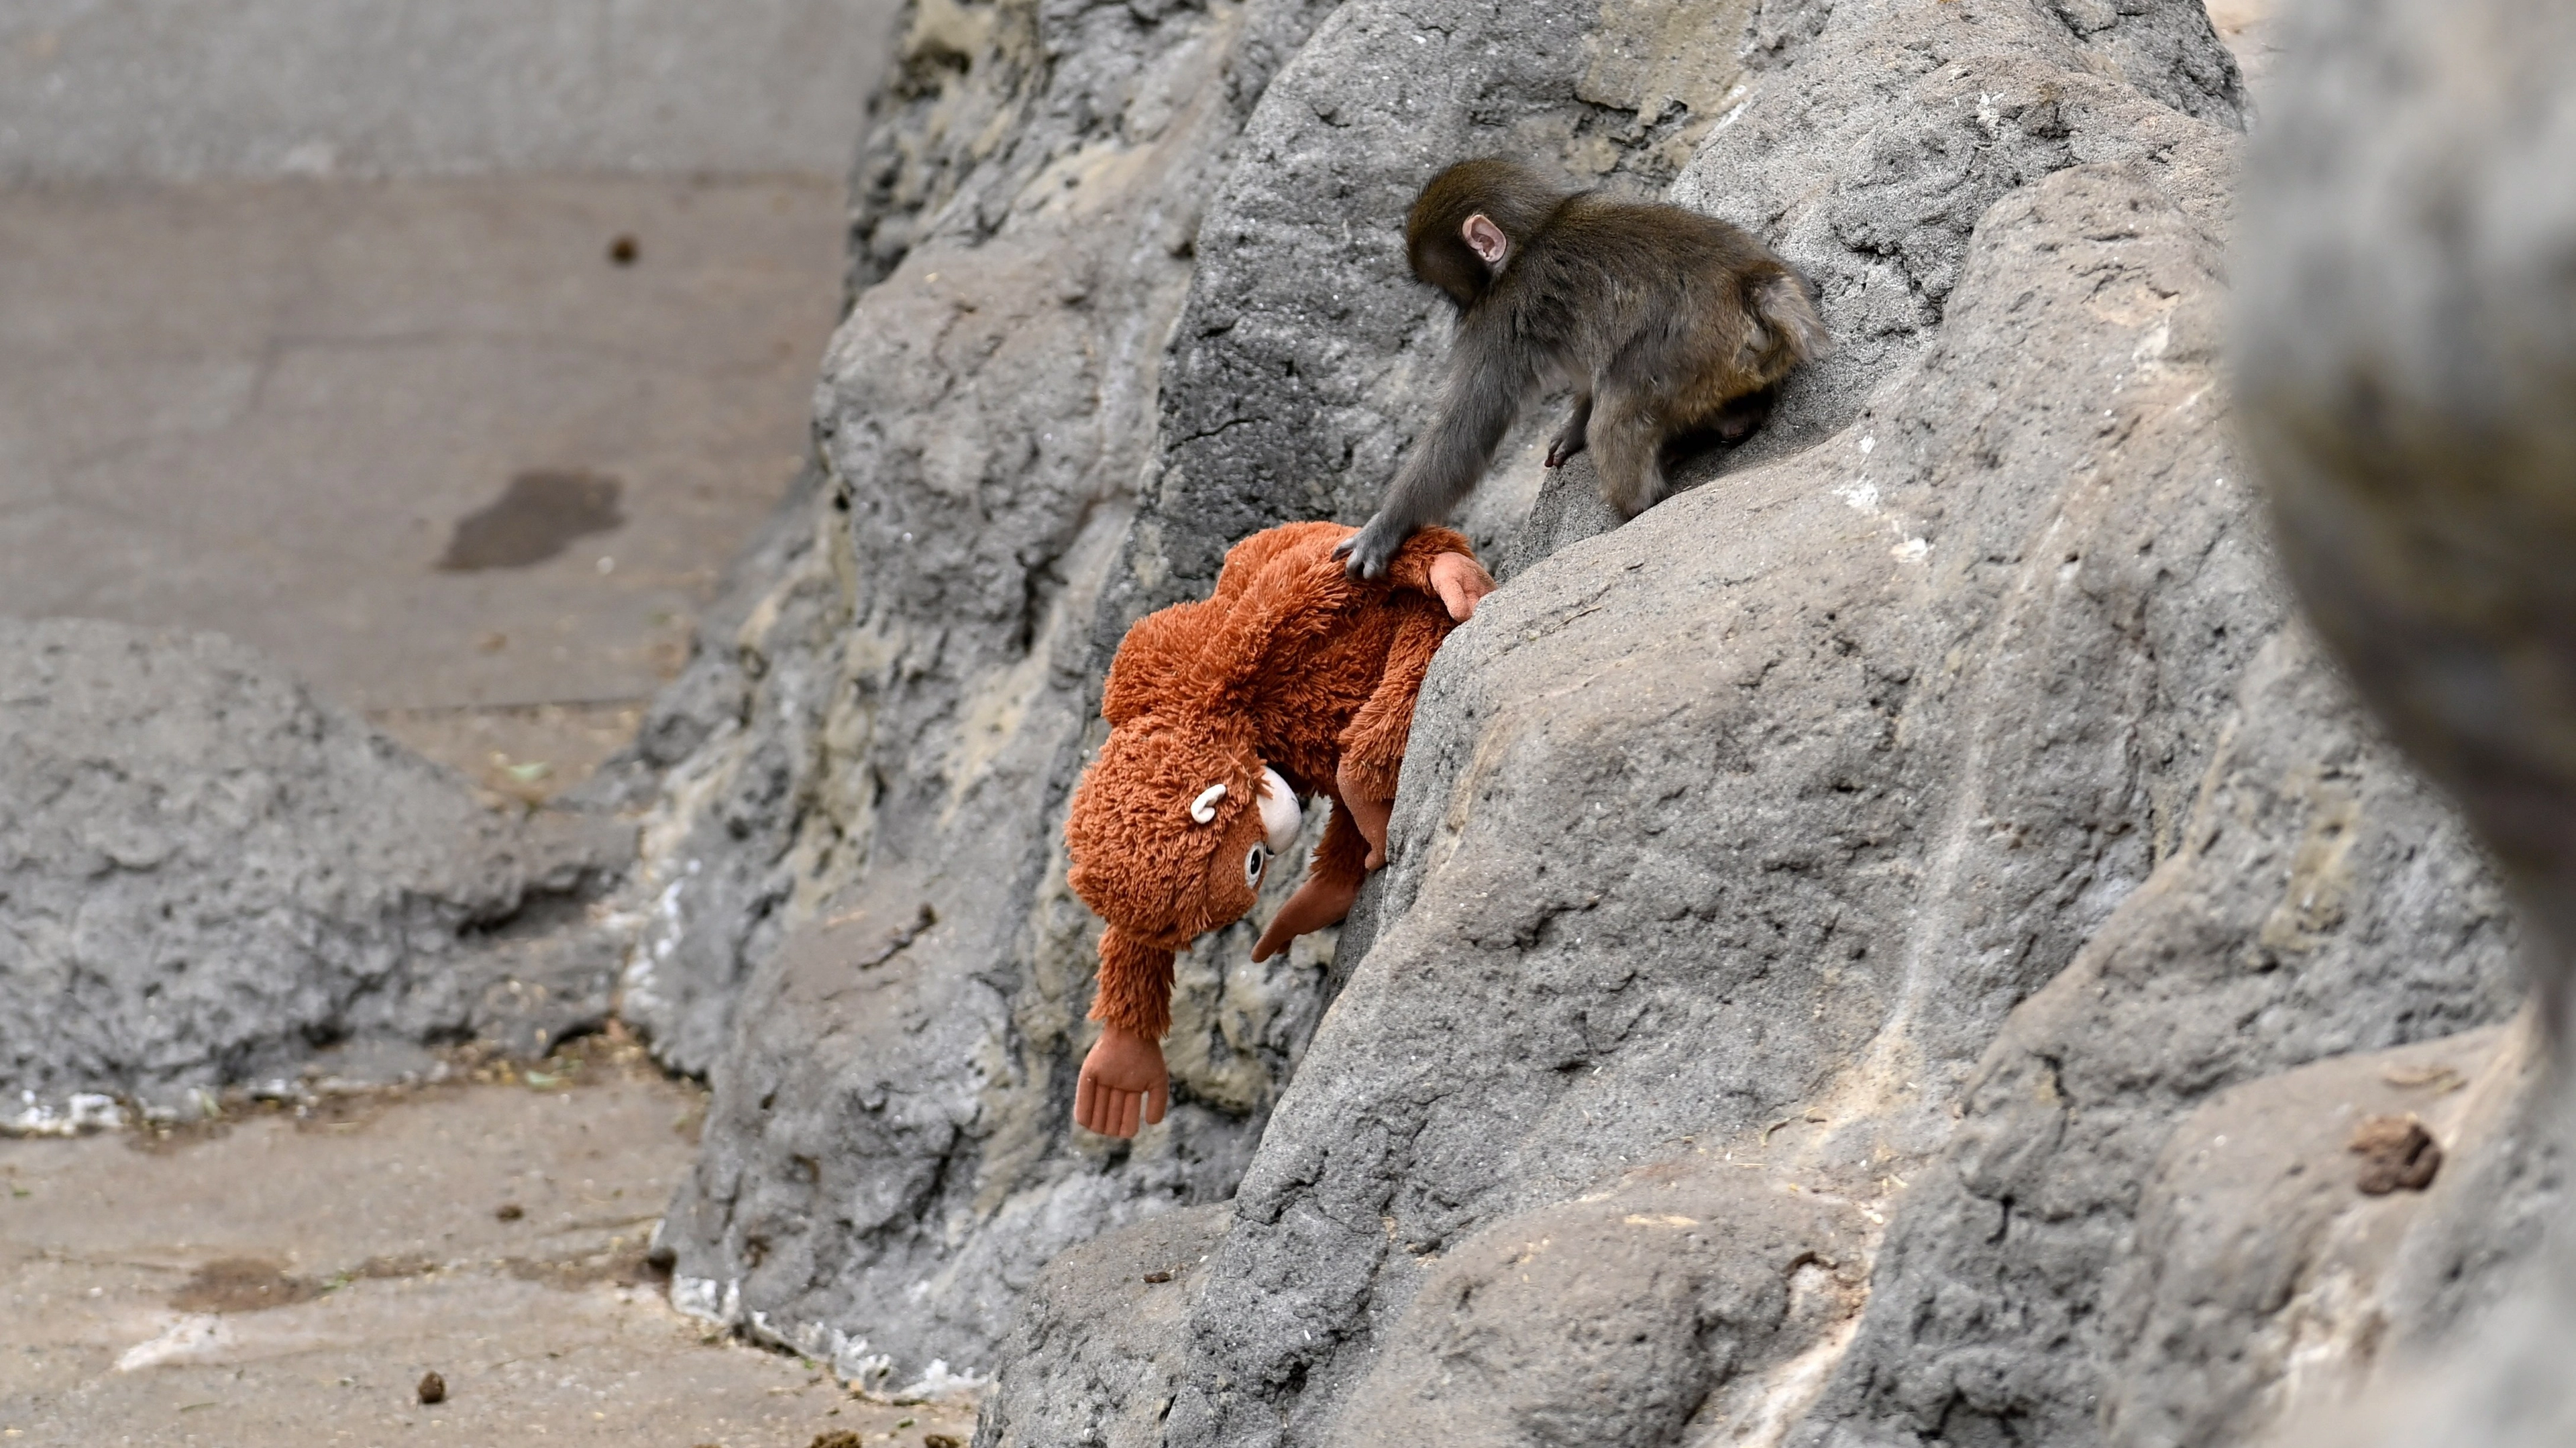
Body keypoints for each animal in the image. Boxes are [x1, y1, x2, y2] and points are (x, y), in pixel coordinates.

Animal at [1336, 158, 1829, 580]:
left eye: (1447, 290)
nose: (1456, 311)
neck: (1535, 232)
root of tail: (1753, 284)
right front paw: (1571, 429)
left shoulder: (1497, 317)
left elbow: (1467, 429)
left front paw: (1384, 529)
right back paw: (1738, 416)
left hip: (1683, 356)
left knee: (1617, 417)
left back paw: (1636, 504)